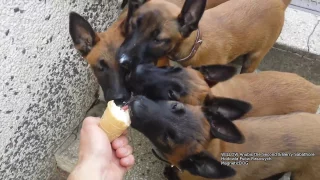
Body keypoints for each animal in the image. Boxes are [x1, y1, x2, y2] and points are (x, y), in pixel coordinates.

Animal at [116, 0, 292, 73]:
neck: (194, 46)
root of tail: (279, 3)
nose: (121, 60)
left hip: (254, 58)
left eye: (158, 40)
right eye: (132, 25)